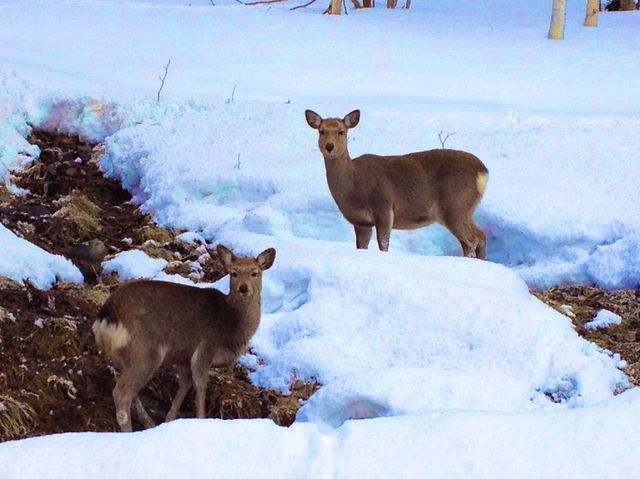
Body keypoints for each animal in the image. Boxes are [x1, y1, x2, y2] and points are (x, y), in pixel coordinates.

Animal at [92, 246, 276, 434]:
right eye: (233, 273)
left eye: (254, 273)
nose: (243, 288)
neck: (233, 328)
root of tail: (107, 316)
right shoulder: (206, 346)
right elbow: (200, 385)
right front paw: (201, 419)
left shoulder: (183, 357)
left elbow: (185, 385)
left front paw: (169, 419)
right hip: (144, 352)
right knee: (121, 393)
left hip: (124, 357)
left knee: (130, 392)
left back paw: (149, 423)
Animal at [304, 109, 490, 258]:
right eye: (321, 131)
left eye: (341, 131)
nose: (329, 146)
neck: (353, 186)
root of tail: (483, 171)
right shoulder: (361, 222)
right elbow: (361, 246)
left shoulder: (384, 205)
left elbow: (383, 243)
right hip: (466, 209)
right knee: (480, 236)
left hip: (455, 205)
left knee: (471, 241)